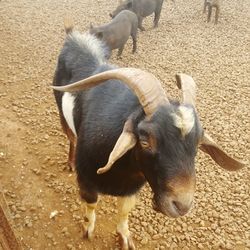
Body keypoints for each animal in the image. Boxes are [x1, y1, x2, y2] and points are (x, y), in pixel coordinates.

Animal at [51, 18, 245, 249]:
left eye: (197, 144)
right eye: (145, 140)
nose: (182, 205)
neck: (121, 172)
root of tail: (74, 37)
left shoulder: (132, 187)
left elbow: (124, 210)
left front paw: (124, 236)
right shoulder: (86, 180)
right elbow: (91, 204)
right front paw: (87, 229)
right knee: (70, 136)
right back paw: (69, 161)